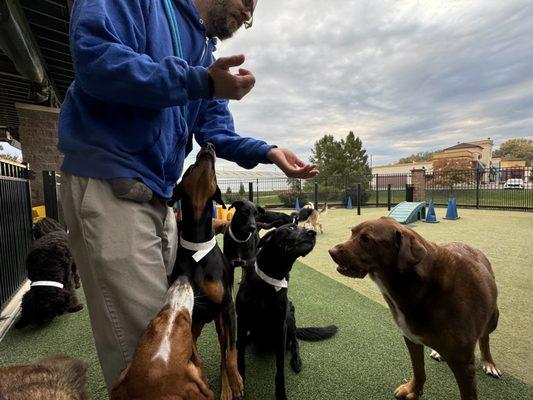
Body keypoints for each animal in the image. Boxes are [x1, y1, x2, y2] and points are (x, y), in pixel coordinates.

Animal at [236, 223, 336, 398]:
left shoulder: (280, 328)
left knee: (295, 341)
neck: (271, 279)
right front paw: (239, 383)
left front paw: (281, 393)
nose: (313, 232)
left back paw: (296, 360)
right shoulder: (242, 322)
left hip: (290, 317)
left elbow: (280, 368)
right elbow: (240, 358)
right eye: (291, 227)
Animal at [328, 219, 498, 400]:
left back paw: (489, 362)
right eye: (352, 232)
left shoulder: (464, 365)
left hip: (493, 318)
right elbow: (418, 369)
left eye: (366, 239)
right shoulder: (411, 338)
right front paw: (414, 389)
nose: (330, 251)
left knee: (485, 337)